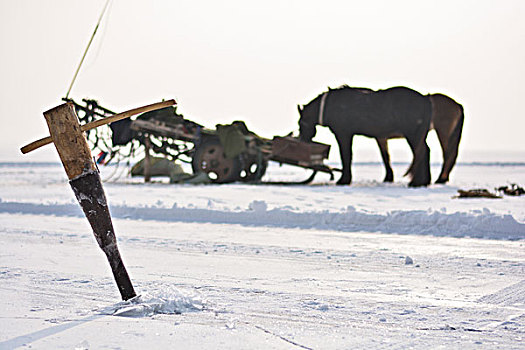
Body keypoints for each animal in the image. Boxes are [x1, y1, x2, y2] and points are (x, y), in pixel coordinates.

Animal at [296, 86, 432, 187]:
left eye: (300, 123)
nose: (303, 139)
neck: (331, 105)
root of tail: (425, 99)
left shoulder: (343, 134)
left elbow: (346, 156)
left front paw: (344, 180)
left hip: (413, 135)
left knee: (421, 153)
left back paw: (416, 182)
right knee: (425, 151)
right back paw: (423, 181)